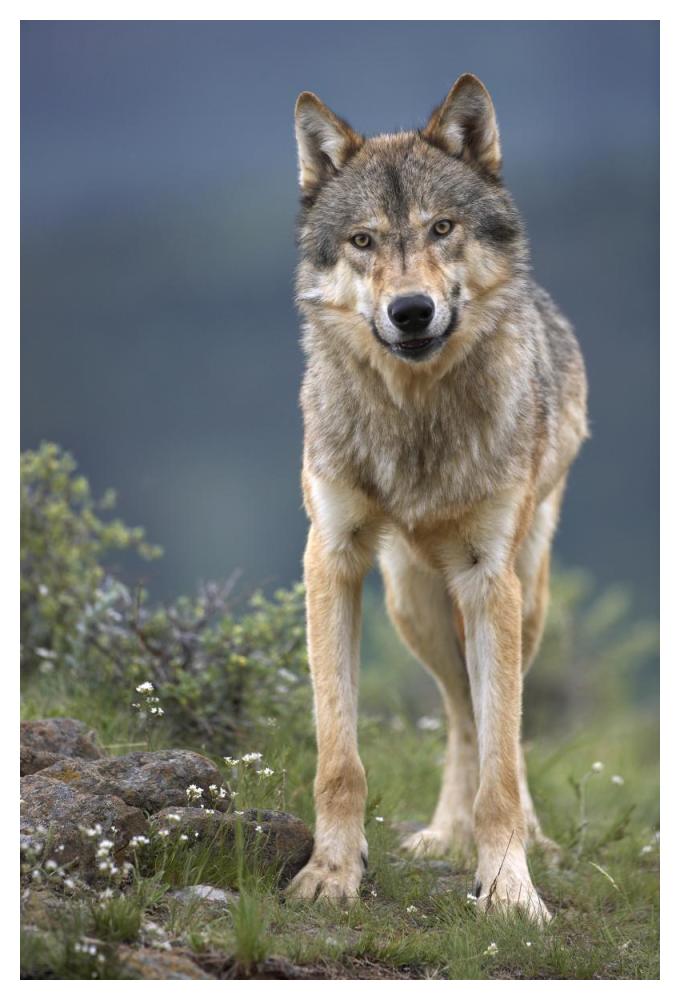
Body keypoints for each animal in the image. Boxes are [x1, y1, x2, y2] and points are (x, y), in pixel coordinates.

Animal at [288, 74, 588, 922]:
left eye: (442, 227)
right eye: (363, 241)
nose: (411, 310)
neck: (416, 424)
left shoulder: (489, 578)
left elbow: (503, 761)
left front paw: (511, 887)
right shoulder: (332, 559)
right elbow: (340, 758)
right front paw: (332, 874)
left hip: (521, 595)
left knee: (493, 728)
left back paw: (523, 841)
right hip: (411, 603)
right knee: (460, 714)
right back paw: (445, 838)